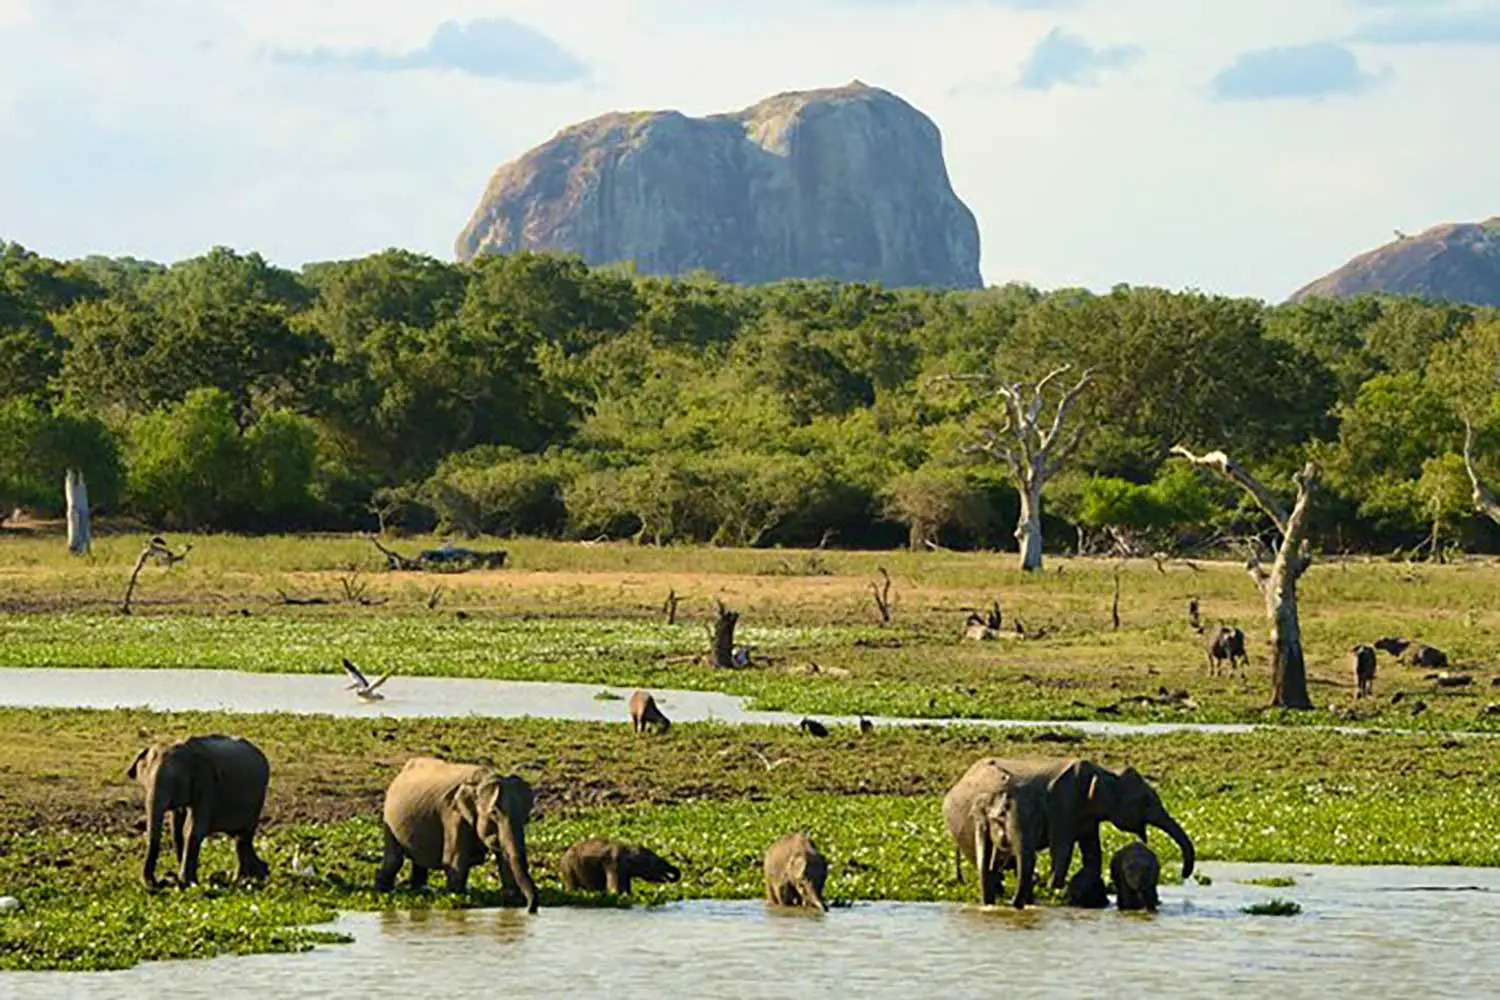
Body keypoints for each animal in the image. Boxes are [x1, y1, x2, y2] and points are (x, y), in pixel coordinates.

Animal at [125, 734, 270, 893]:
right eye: (145, 783)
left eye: (175, 781)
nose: (158, 883)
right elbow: (177, 828)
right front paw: (182, 881)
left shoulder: (206, 784)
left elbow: (192, 828)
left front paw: (187, 883)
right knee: (240, 839)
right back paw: (254, 875)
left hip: (258, 798)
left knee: (244, 837)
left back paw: (247, 878)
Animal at [378, 758, 543, 917]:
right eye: (494, 813)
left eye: (527, 816)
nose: (530, 909)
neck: (479, 782)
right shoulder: (453, 815)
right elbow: (455, 863)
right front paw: (457, 900)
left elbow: (505, 860)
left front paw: (512, 903)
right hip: (388, 819)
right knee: (394, 861)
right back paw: (383, 891)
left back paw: (418, 892)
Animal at [954, 758, 1188, 893]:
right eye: (1145, 801)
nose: (1185, 875)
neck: (1104, 771)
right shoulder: (1063, 805)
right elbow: (1062, 849)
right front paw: (1053, 889)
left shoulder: (1086, 814)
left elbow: (1092, 850)